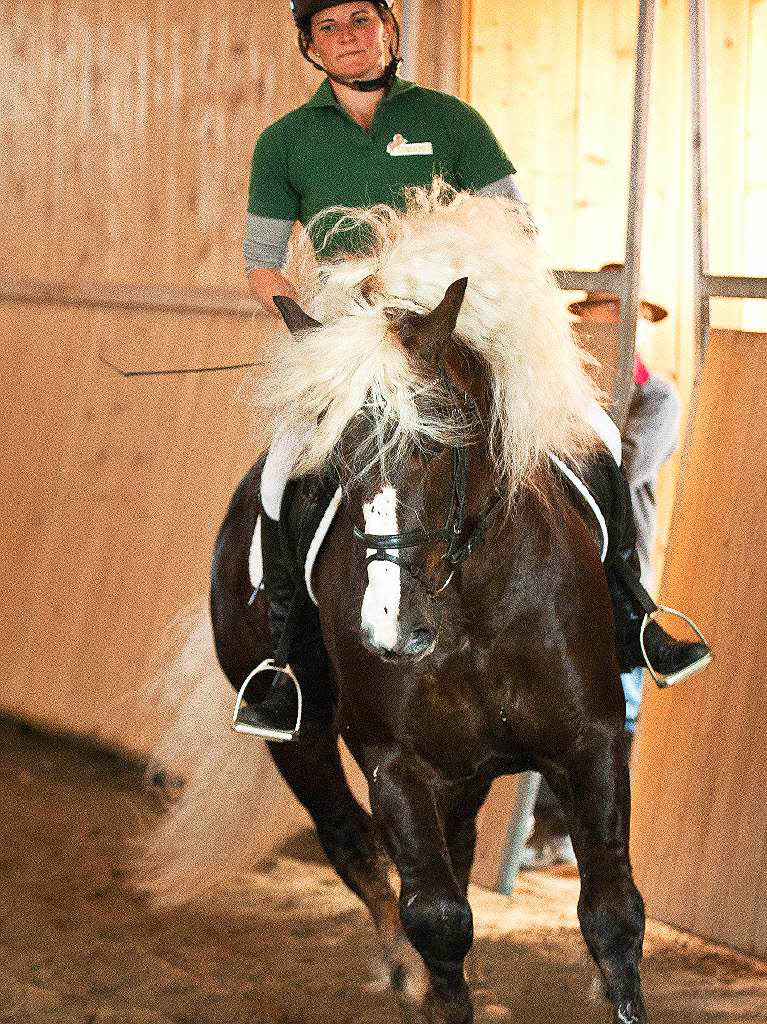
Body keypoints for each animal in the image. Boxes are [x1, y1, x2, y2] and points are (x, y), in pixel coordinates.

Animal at [207, 184, 647, 1024]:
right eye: (332, 463)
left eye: (438, 444)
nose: (387, 633)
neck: (469, 605)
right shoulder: (398, 763)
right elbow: (439, 918)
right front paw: (429, 983)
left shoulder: (591, 740)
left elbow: (613, 914)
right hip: (301, 739)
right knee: (351, 842)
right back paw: (400, 970)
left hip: (467, 775)